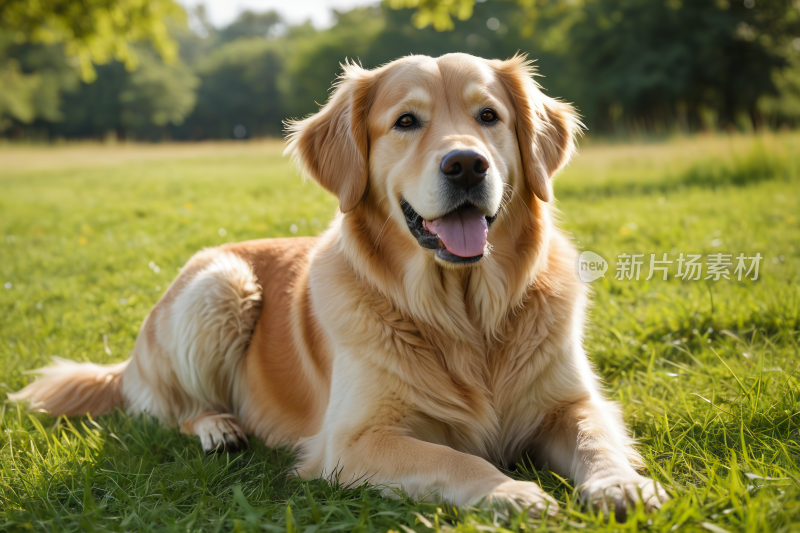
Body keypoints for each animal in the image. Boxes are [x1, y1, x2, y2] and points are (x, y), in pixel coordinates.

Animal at [10, 55, 668, 520]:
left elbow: (597, 438)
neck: (461, 314)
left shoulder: (571, 402)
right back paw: (218, 427)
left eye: (489, 117)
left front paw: (624, 485)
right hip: (220, 286)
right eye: (406, 122)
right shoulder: (355, 440)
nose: (466, 165)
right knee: (172, 409)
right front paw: (512, 493)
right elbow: (451, 457)